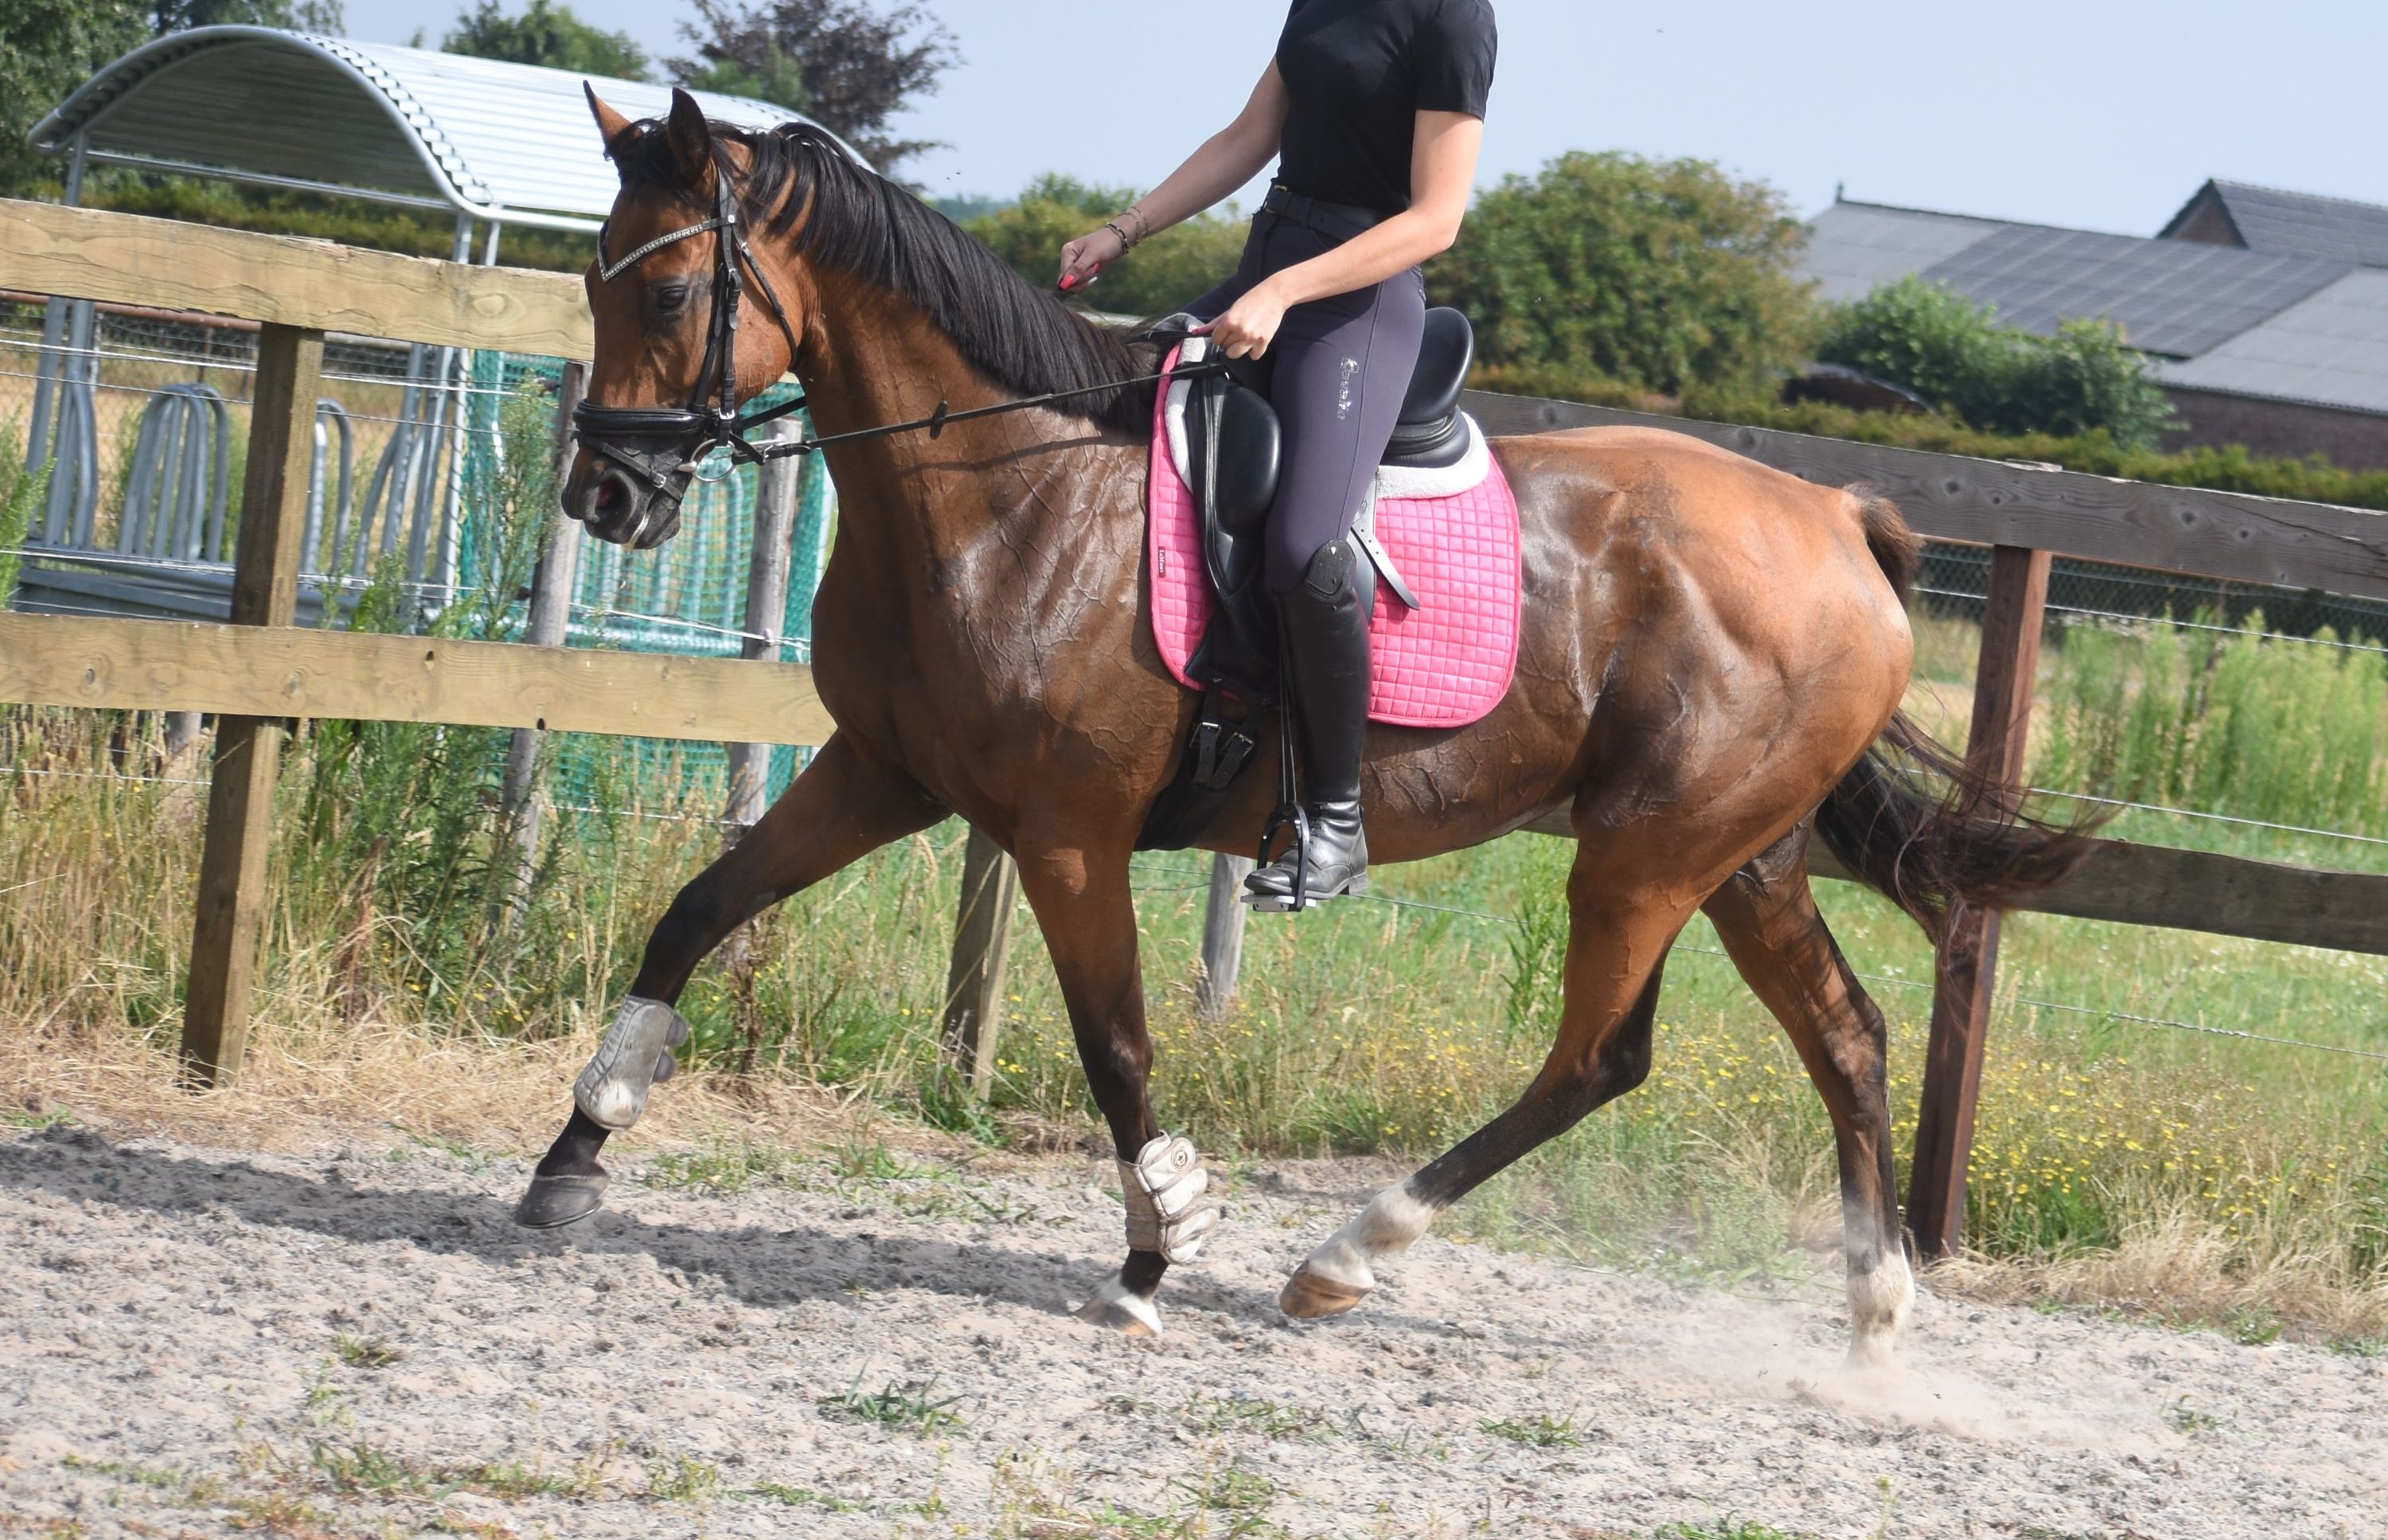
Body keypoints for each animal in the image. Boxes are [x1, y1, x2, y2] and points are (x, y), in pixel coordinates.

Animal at [522, 87, 2084, 1367]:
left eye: (671, 290)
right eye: (599, 278)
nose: (603, 496)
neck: (1006, 490)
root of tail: (1834, 514)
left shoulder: (1068, 835)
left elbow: (1118, 1043)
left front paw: (1154, 1255)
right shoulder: (885, 772)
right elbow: (699, 907)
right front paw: (574, 1151)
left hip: (1649, 856)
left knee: (1602, 1058)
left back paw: (1348, 1253)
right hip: (1741, 854)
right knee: (1847, 1036)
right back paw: (1874, 1316)